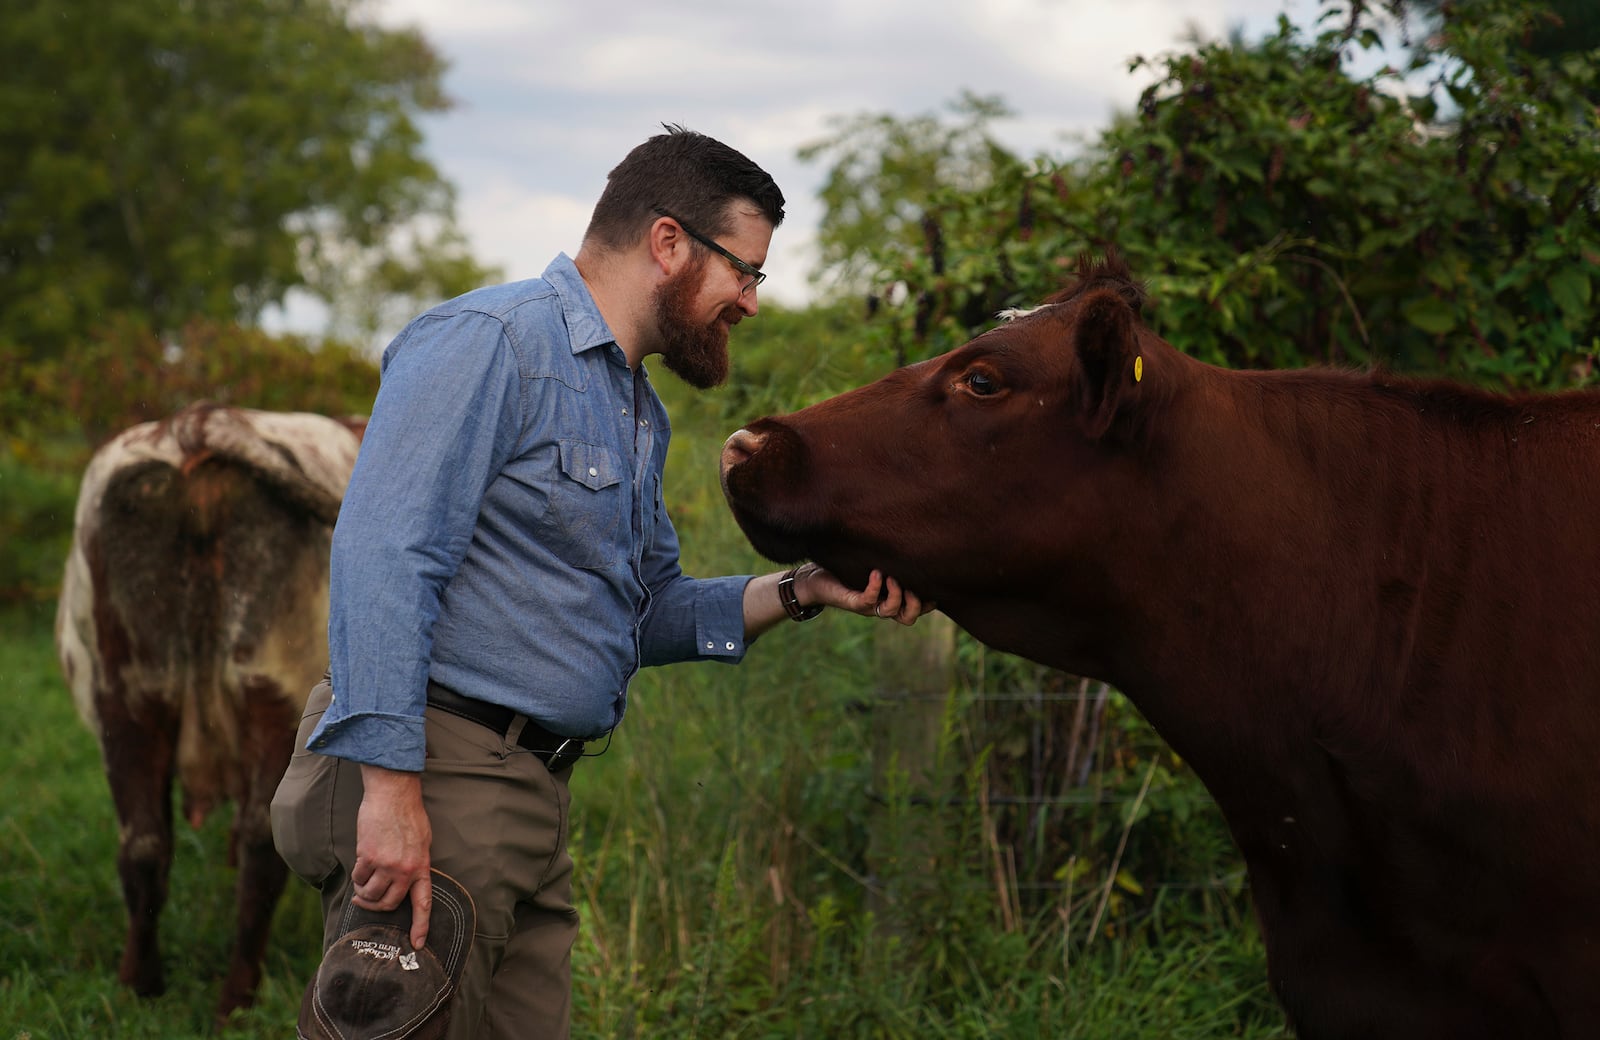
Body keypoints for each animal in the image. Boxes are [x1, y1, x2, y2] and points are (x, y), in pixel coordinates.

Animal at [57, 401, 366, 1024]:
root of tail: (196, 425)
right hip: (270, 695)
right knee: (250, 845)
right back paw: (232, 1000)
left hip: (126, 696)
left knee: (146, 844)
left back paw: (143, 986)